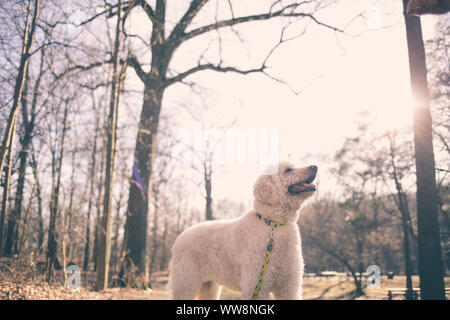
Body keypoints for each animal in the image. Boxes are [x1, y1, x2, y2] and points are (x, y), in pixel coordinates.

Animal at [169, 162, 316, 300]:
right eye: (288, 170)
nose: (315, 167)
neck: (273, 224)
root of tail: (179, 239)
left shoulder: (288, 287)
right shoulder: (255, 285)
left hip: (209, 285)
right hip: (186, 282)